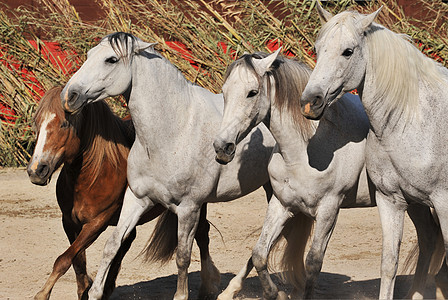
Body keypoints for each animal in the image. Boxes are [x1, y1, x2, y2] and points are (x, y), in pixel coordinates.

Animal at [27, 85, 213, 298]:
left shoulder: (96, 223)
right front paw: (86, 289)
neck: (95, 173)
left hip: (196, 206)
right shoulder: (69, 222)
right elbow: (77, 261)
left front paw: (43, 294)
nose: (36, 170)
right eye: (37, 123)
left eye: (64, 124)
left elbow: (64, 260)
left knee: (202, 235)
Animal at [58, 31, 278, 298]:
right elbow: (112, 245)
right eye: (89, 54)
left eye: (111, 59)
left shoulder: (189, 208)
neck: (174, 130)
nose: (69, 96)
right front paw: (95, 292)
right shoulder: (137, 199)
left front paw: (182, 294)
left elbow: (182, 256)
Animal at [214, 50, 378, 298]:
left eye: (252, 92)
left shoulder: (329, 210)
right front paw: (274, 293)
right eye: (224, 93)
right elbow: (259, 254)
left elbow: (313, 262)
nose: (222, 147)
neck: (305, 151)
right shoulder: (282, 204)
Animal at [300, 3, 448, 298]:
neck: (415, 119)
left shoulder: (444, 203)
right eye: (317, 48)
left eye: (348, 51)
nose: (311, 101)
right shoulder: (391, 200)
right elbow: (389, 263)